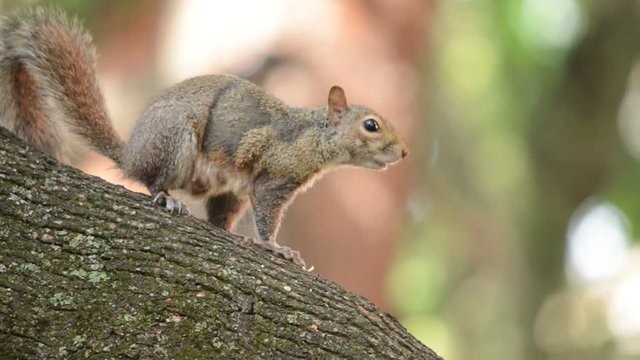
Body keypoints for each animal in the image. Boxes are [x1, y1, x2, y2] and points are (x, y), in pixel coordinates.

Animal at [0, 8, 408, 268]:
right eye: (371, 125)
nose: (404, 152)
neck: (314, 137)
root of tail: (131, 153)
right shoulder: (274, 176)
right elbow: (267, 216)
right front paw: (276, 248)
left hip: (227, 190)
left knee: (217, 213)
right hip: (174, 139)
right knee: (152, 180)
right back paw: (166, 198)